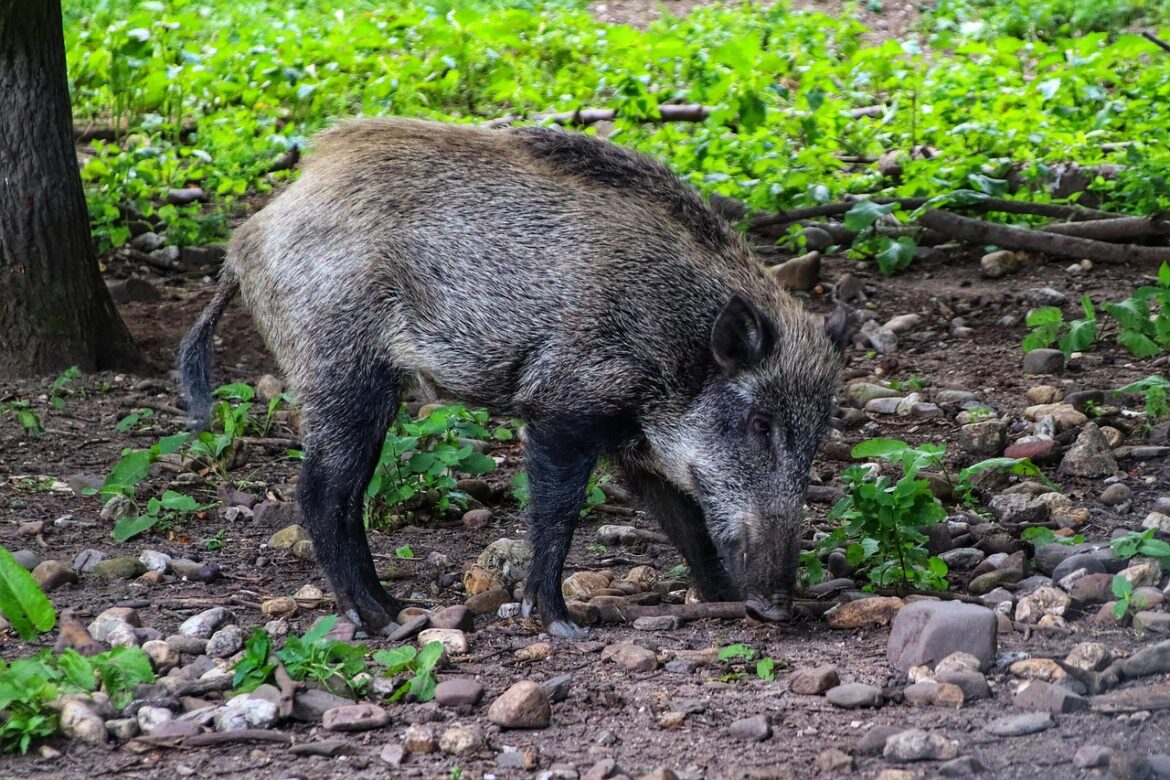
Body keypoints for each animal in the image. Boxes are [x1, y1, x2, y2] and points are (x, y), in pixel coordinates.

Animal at [179, 117, 849, 638]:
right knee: (324, 493)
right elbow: (557, 510)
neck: (677, 343)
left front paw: (719, 599)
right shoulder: (563, 405)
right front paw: (560, 623)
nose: (777, 608)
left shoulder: (637, 442)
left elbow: (684, 518)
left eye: (816, 440)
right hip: (341, 370)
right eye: (760, 424)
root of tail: (245, 240)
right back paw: (384, 618)